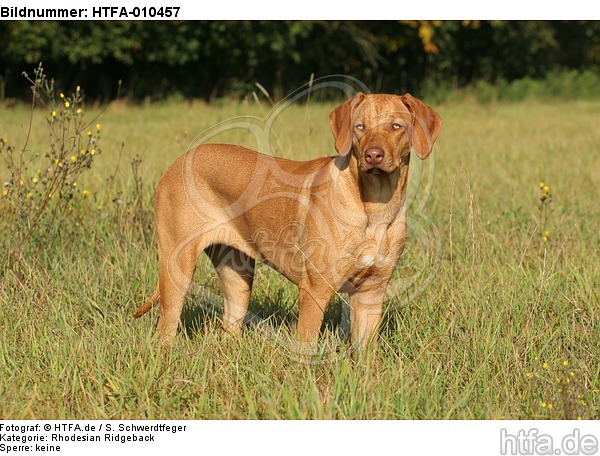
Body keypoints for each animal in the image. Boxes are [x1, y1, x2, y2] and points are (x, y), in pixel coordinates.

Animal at [136, 91, 440, 350]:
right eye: (360, 127)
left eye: (396, 126)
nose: (373, 155)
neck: (375, 207)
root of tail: (176, 163)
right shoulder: (315, 290)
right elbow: (306, 347)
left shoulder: (372, 292)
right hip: (178, 266)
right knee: (165, 329)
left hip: (237, 275)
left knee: (229, 326)